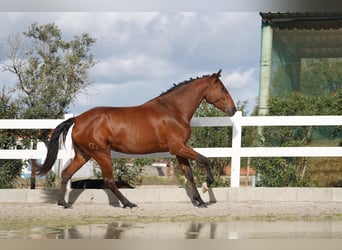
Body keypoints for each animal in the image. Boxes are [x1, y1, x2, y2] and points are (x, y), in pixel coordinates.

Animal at [36, 69, 236, 208]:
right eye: (222, 88)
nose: (233, 109)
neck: (173, 111)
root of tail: (78, 119)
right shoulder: (178, 147)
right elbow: (205, 159)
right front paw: (207, 185)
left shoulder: (179, 150)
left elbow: (189, 175)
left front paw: (199, 201)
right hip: (101, 153)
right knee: (109, 181)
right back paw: (128, 203)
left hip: (84, 154)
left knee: (66, 173)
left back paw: (63, 203)